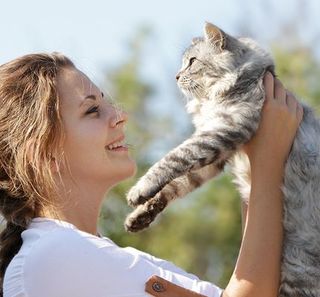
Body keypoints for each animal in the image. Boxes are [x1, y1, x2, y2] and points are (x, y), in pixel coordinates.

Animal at [124, 22, 320, 294]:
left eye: (192, 62)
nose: (176, 76)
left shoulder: (223, 130)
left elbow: (172, 160)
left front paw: (138, 190)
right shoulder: (218, 157)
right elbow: (175, 186)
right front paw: (139, 216)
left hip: (298, 272)